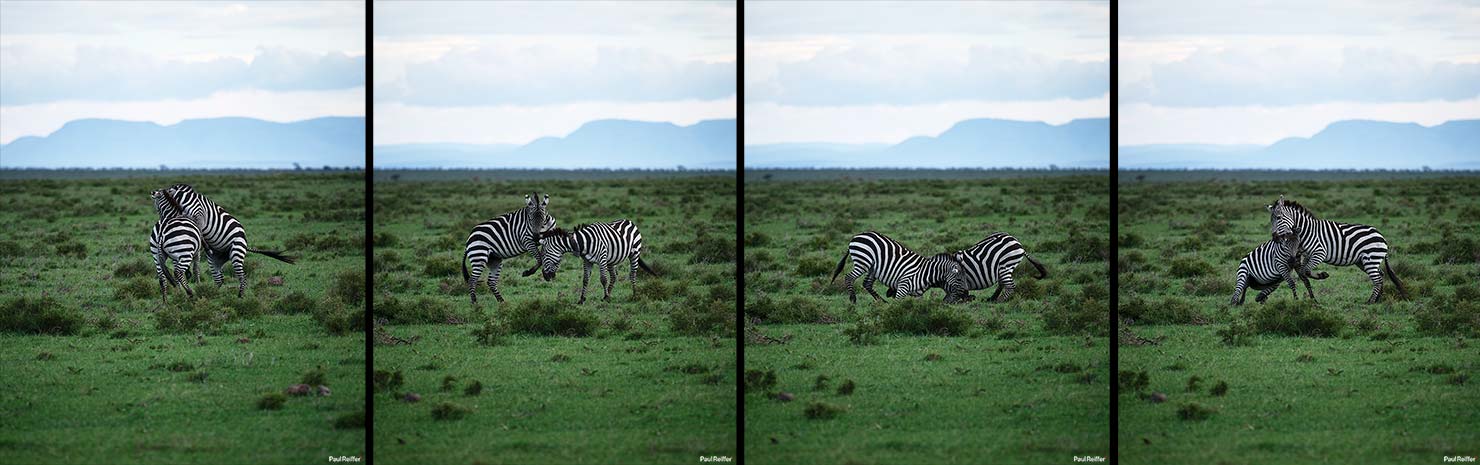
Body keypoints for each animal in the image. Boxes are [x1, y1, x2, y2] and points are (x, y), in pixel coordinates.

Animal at [160, 184, 296, 297]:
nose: (164, 224)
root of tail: (245, 243)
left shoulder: (199, 216)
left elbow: (198, 231)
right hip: (215, 260)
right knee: (219, 279)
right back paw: (213, 294)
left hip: (236, 251)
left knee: (242, 277)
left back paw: (240, 296)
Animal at [828, 231, 965, 304]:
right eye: (959, 279)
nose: (964, 295)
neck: (927, 273)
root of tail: (857, 236)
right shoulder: (903, 286)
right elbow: (898, 304)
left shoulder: (917, 294)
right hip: (863, 261)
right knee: (849, 277)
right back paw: (853, 299)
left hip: (873, 267)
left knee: (867, 284)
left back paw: (882, 302)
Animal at [1269, 195, 1406, 303]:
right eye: (1271, 220)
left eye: (1279, 217)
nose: (1274, 237)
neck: (1306, 231)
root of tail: (1382, 236)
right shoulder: (1308, 255)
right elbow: (1304, 272)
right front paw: (1321, 276)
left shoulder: (1319, 253)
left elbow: (1306, 271)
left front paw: (1322, 275)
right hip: (1363, 261)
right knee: (1381, 275)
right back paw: (1378, 299)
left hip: (1370, 259)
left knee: (1377, 279)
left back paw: (1371, 301)